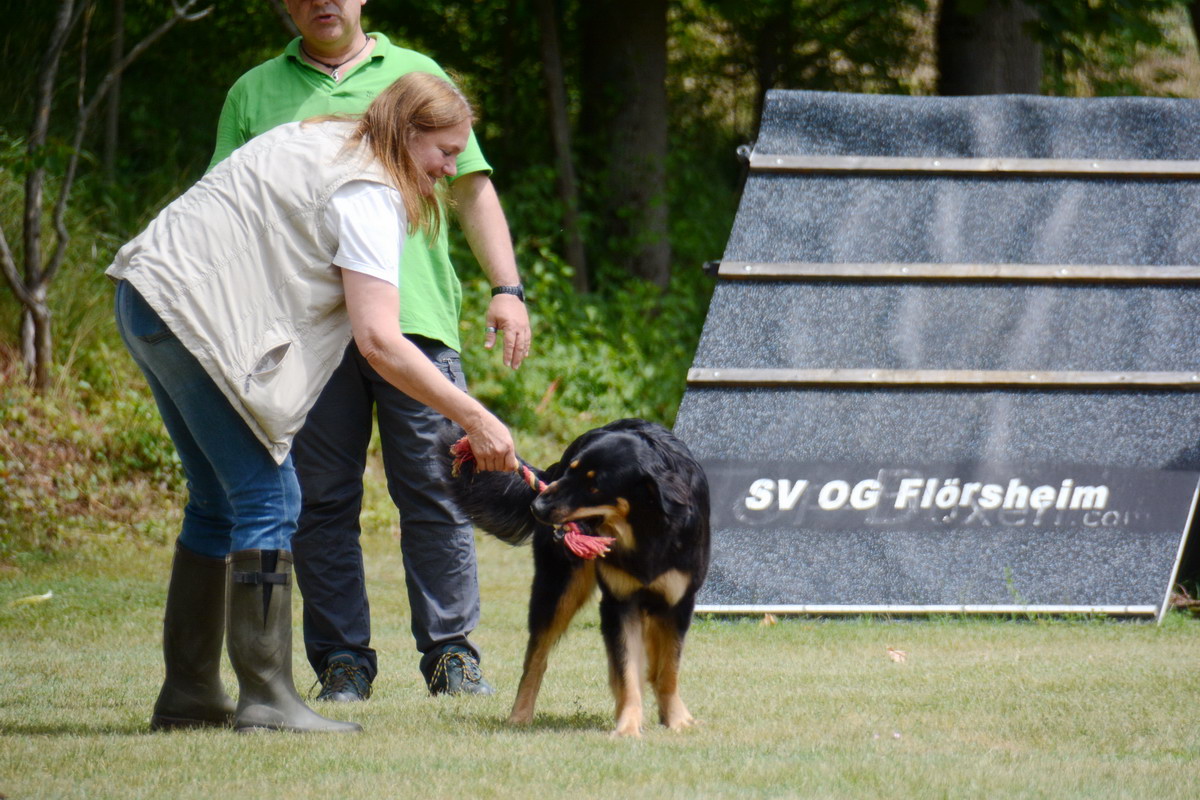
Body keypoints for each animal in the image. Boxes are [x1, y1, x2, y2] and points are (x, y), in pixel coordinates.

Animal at [448, 419, 710, 738]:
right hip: (557, 590)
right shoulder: (618, 603)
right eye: (571, 471)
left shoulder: (678, 602)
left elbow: (667, 669)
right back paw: (519, 716)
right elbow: (627, 669)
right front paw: (628, 725)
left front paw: (675, 719)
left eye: (595, 485)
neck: (645, 528)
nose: (537, 506)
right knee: (536, 660)